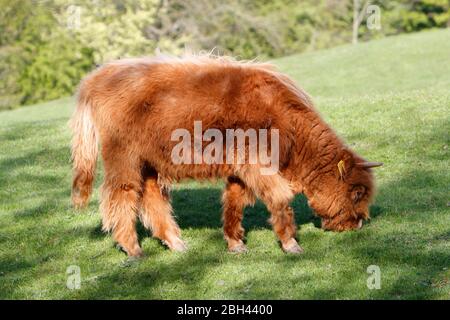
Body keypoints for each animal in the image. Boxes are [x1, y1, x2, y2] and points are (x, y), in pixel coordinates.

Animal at [70, 53, 384, 256]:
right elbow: (279, 197)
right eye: (357, 194)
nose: (358, 224)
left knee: (151, 199)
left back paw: (176, 243)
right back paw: (133, 248)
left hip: (148, 162)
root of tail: (97, 76)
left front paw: (235, 244)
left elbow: (234, 201)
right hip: (124, 158)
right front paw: (291, 244)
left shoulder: (241, 167)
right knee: (120, 194)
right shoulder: (258, 163)